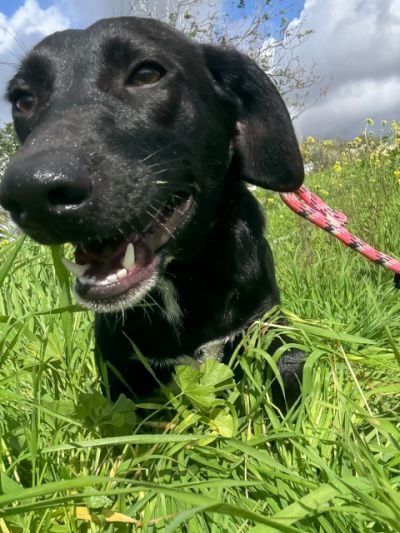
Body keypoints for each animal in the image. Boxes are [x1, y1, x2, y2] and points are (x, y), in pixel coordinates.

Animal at [0, 17, 305, 408]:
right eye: (23, 100)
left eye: (146, 74)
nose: (30, 190)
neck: (174, 282)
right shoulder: (119, 367)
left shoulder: (266, 323)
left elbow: (289, 368)